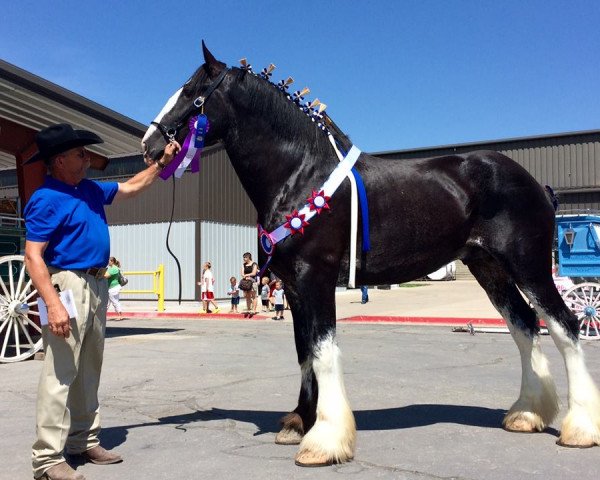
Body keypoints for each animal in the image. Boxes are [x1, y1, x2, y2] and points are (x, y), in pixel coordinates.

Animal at [142, 44, 600, 464]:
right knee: (524, 325)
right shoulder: (293, 287)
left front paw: (324, 440)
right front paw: (299, 422)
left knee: (564, 325)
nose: (150, 144)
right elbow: (304, 352)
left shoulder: (315, 278)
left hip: (528, 267)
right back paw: (526, 414)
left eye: (193, 94)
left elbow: (323, 352)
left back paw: (579, 428)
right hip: (489, 268)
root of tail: (535, 183)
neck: (301, 173)